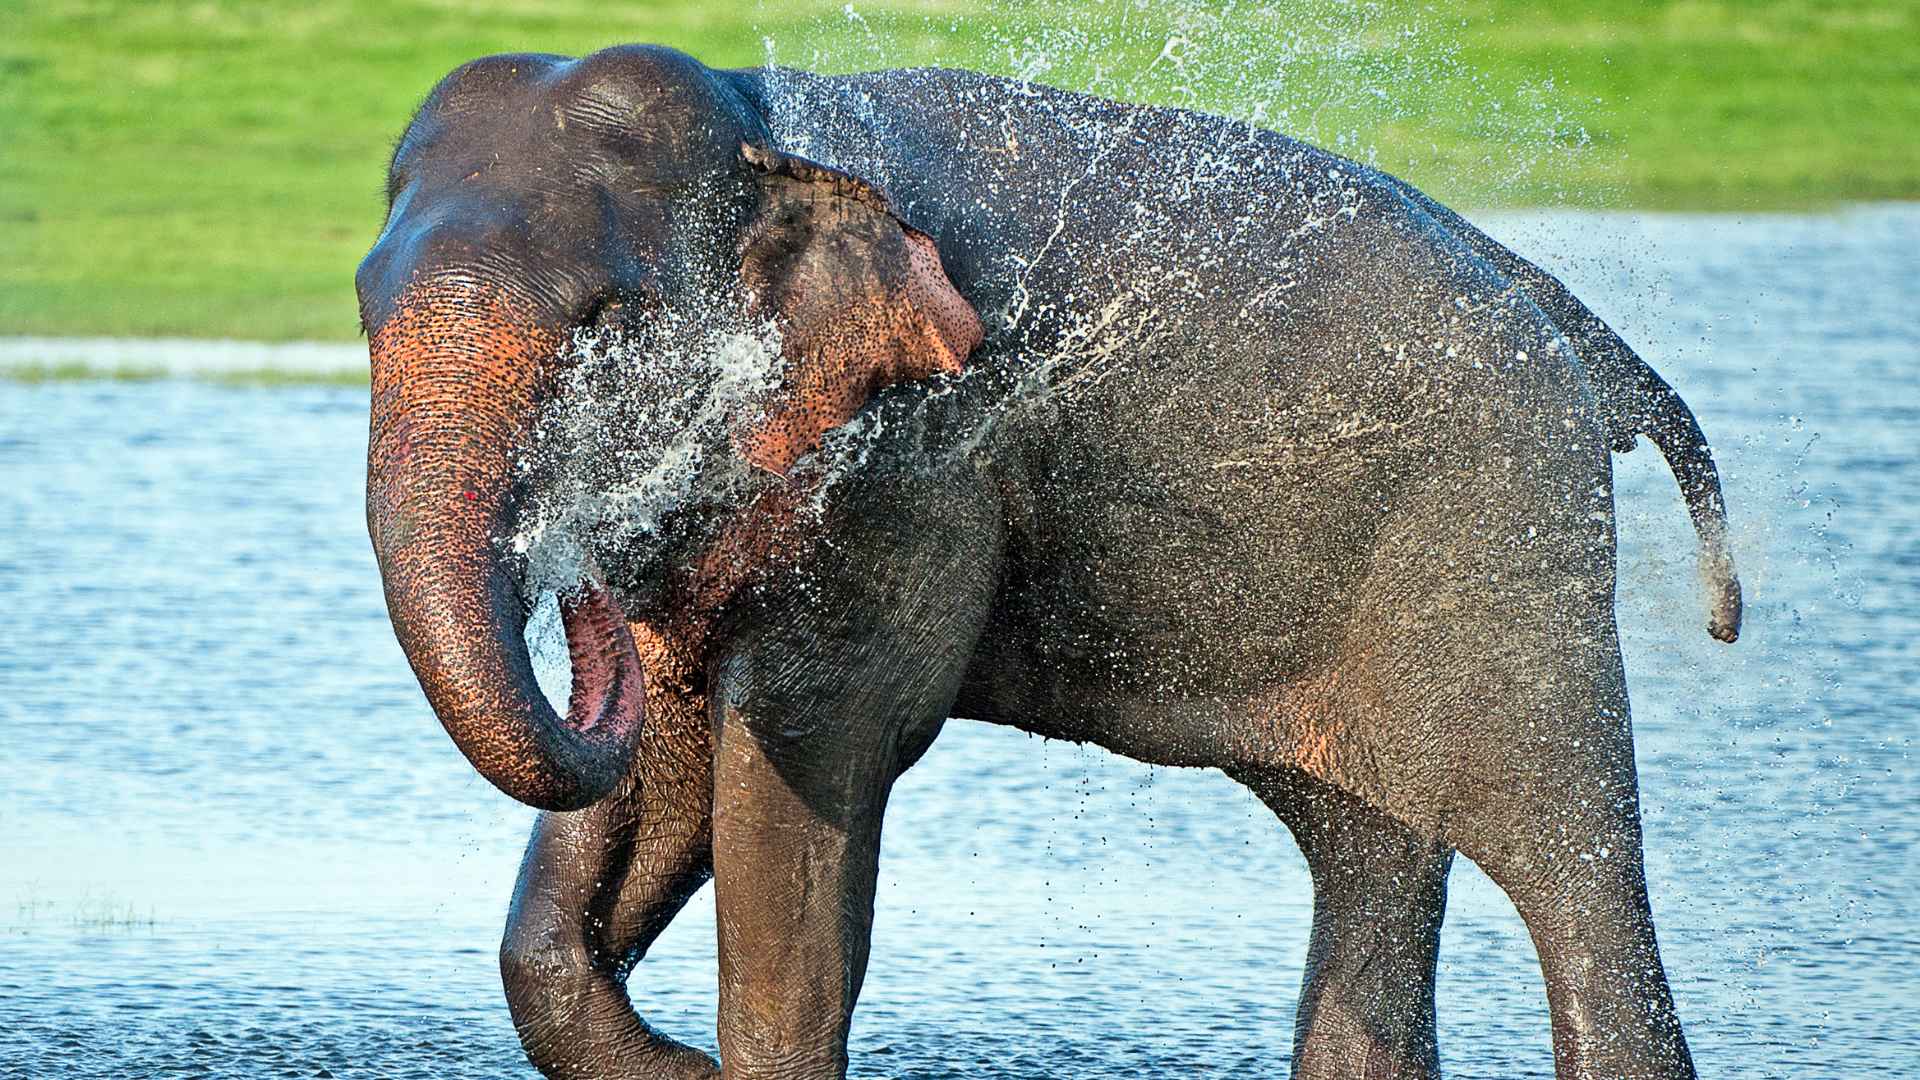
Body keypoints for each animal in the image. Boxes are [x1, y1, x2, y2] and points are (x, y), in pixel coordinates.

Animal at [354, 44, 1744, 1080]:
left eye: (606, 320)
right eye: (364, 310)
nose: (577, 593)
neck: (770, 125)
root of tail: (1558, 307)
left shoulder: (914, 462)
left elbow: (803, 765)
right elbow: (666, 775)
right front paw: (668, 1062)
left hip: (1500, 541)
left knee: (1566, 865)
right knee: (1372, 858)